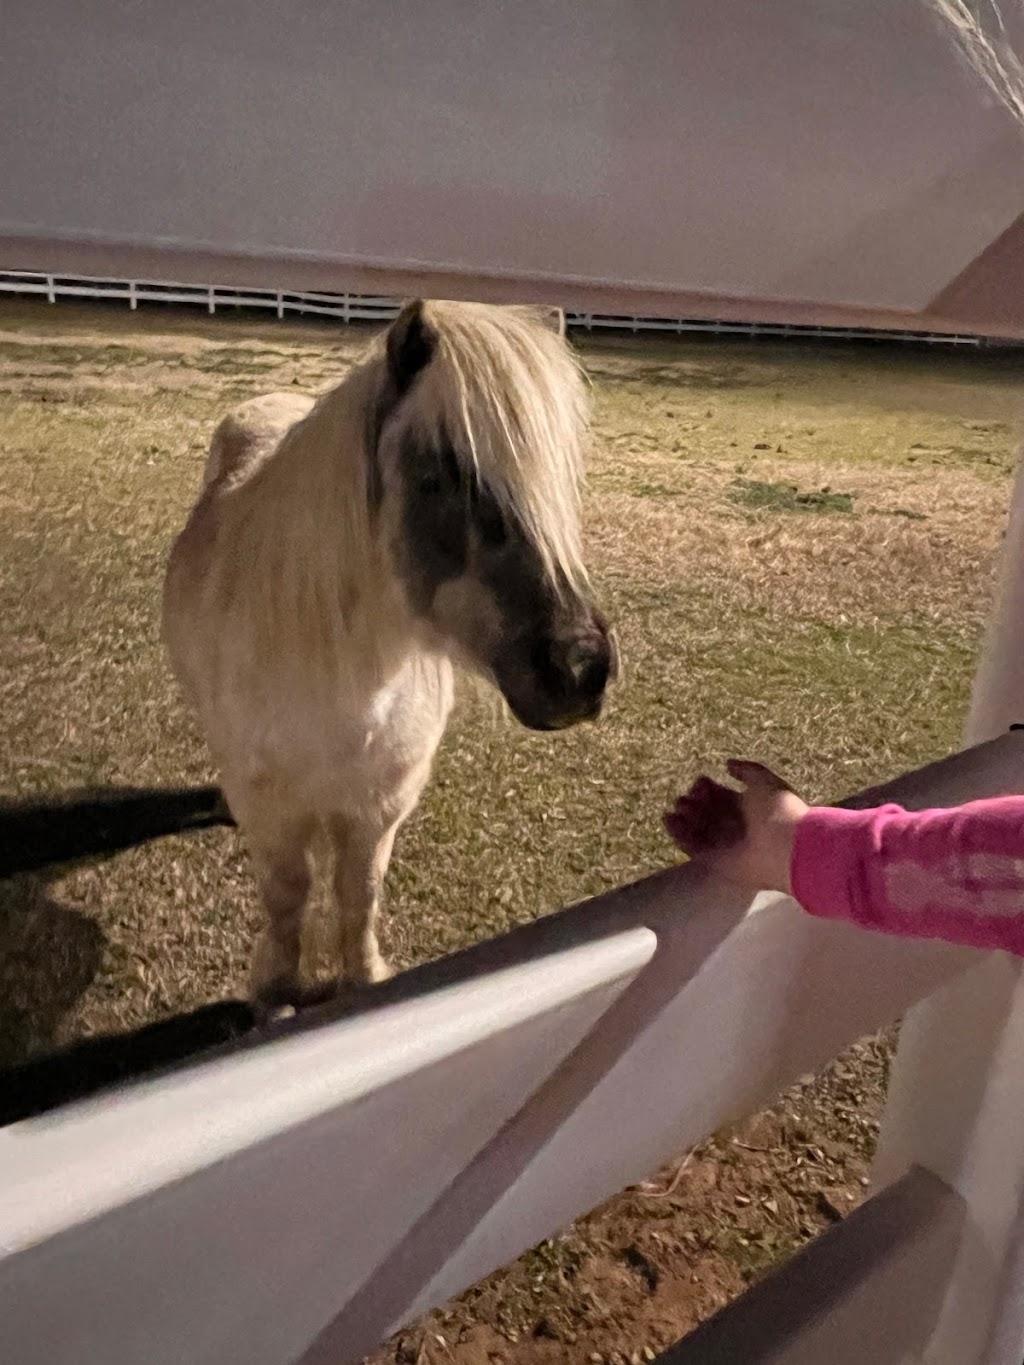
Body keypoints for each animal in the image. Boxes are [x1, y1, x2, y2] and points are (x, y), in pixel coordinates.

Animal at [164, 301, 617, 1004]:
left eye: (558, 483)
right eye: (440, 471)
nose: (581, 668)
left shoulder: (380, 806)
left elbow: (360, 892)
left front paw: (362, 979)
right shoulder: (274, 813)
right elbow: (287, 896)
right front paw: (276, 994)